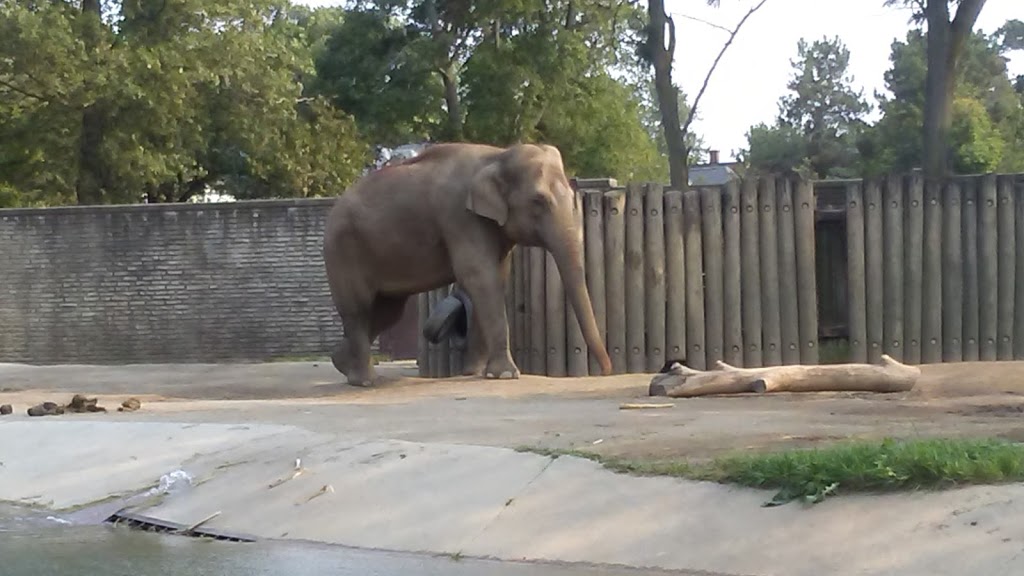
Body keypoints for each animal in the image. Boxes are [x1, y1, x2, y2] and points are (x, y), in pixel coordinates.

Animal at [323, 140, 610, 385]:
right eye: (538, 201)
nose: (607, 370)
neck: (498, 155)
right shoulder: (458, 216)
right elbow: (480, 276)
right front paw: (505, 375)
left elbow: (495, 278)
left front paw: (477, 372)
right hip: (343, 251)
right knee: (358, 308)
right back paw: (365, 381)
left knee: (387, 312)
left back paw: (342, 364)